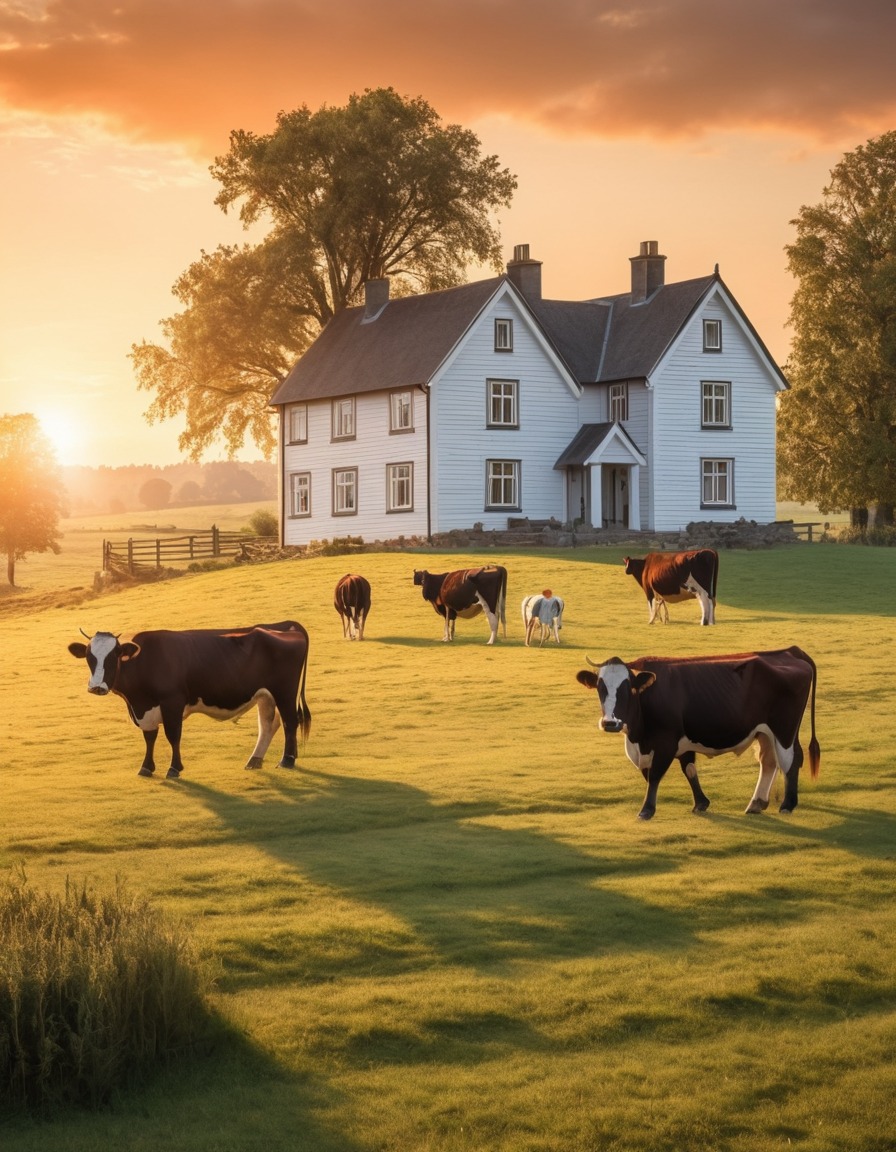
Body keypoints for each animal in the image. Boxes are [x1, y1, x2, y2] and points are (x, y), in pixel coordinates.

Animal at [67, 622, 310, 783]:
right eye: (89, 656)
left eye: (114, 655)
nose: (96, 687)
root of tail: (284, 626)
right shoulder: (145, 708)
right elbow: (150, 737)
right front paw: (146, 767)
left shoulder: (172, 701)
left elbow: (173, 735)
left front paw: (174, 769)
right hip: (265, 695)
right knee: (269, 724)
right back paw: (255, 760)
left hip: (285, 691)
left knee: (290, 721)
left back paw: (287, 759)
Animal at [573, 649, 815, 820]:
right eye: (600, 688)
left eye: (628, 688)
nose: (610, 723)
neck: (638, 737)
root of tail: (790, 652)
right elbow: (687, 770)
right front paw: (701, 802)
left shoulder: (666, 741)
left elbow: (654, 775)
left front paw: (646, 810)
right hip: (765, 732)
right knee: (768, 761)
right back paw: (756, 803)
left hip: (784, 729)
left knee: (791, 760)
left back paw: (787, 805)